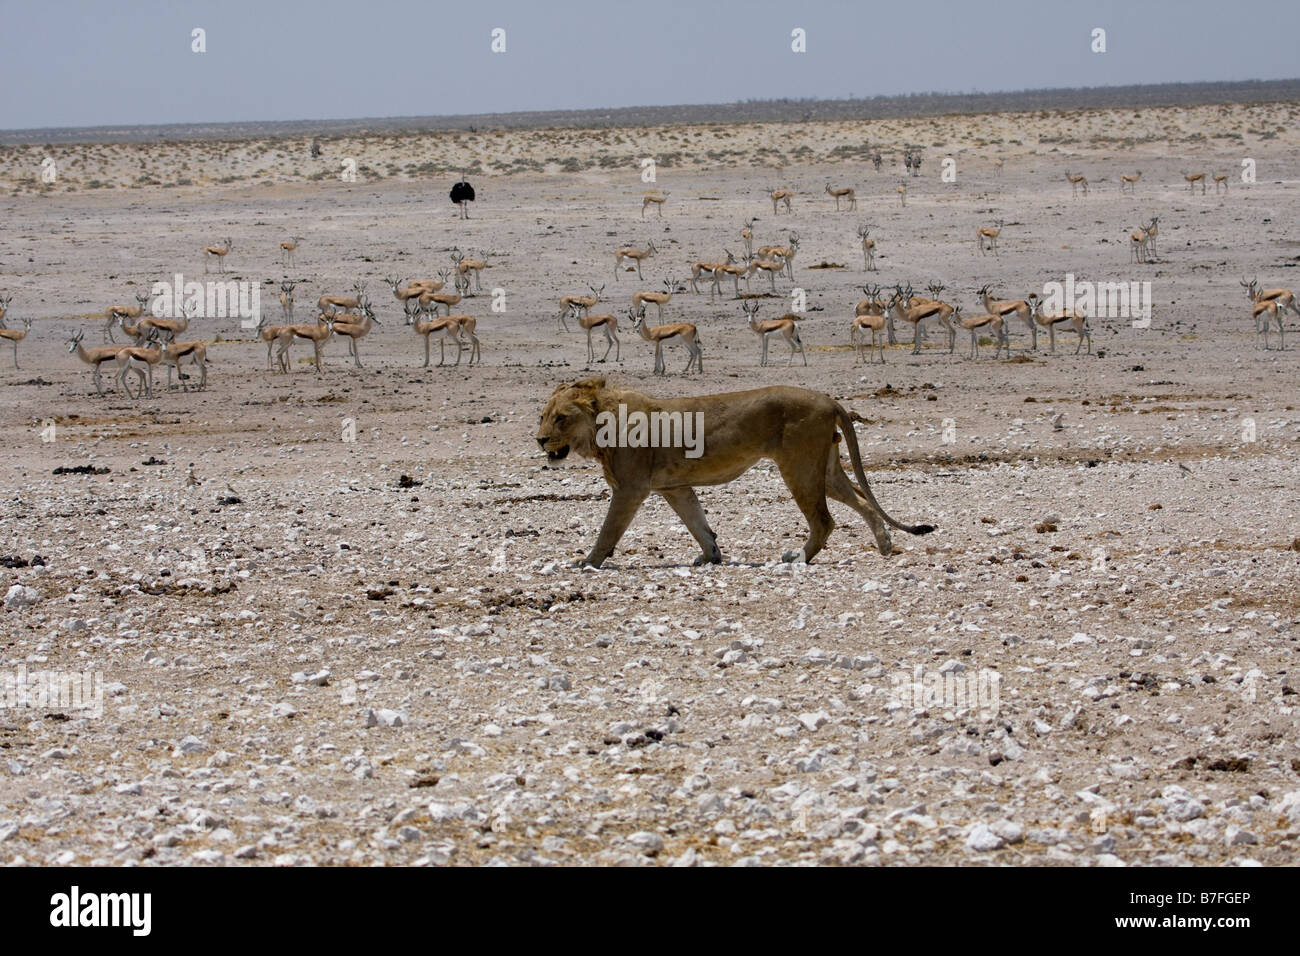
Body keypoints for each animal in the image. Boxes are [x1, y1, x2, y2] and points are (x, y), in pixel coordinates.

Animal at [533, 374, 930, 567]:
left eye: (561, 418)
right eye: (542, 416)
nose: (539, 440)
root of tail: (829, 399)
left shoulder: (631, 488)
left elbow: (608, 530)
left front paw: (587, 562)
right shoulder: (674, 487)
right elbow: (698, 524)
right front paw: (710, 556)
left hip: (798, 467)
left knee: (824, 520)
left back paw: (797, 558)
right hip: (826, 471)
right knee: (862, 501)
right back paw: (885, 547)